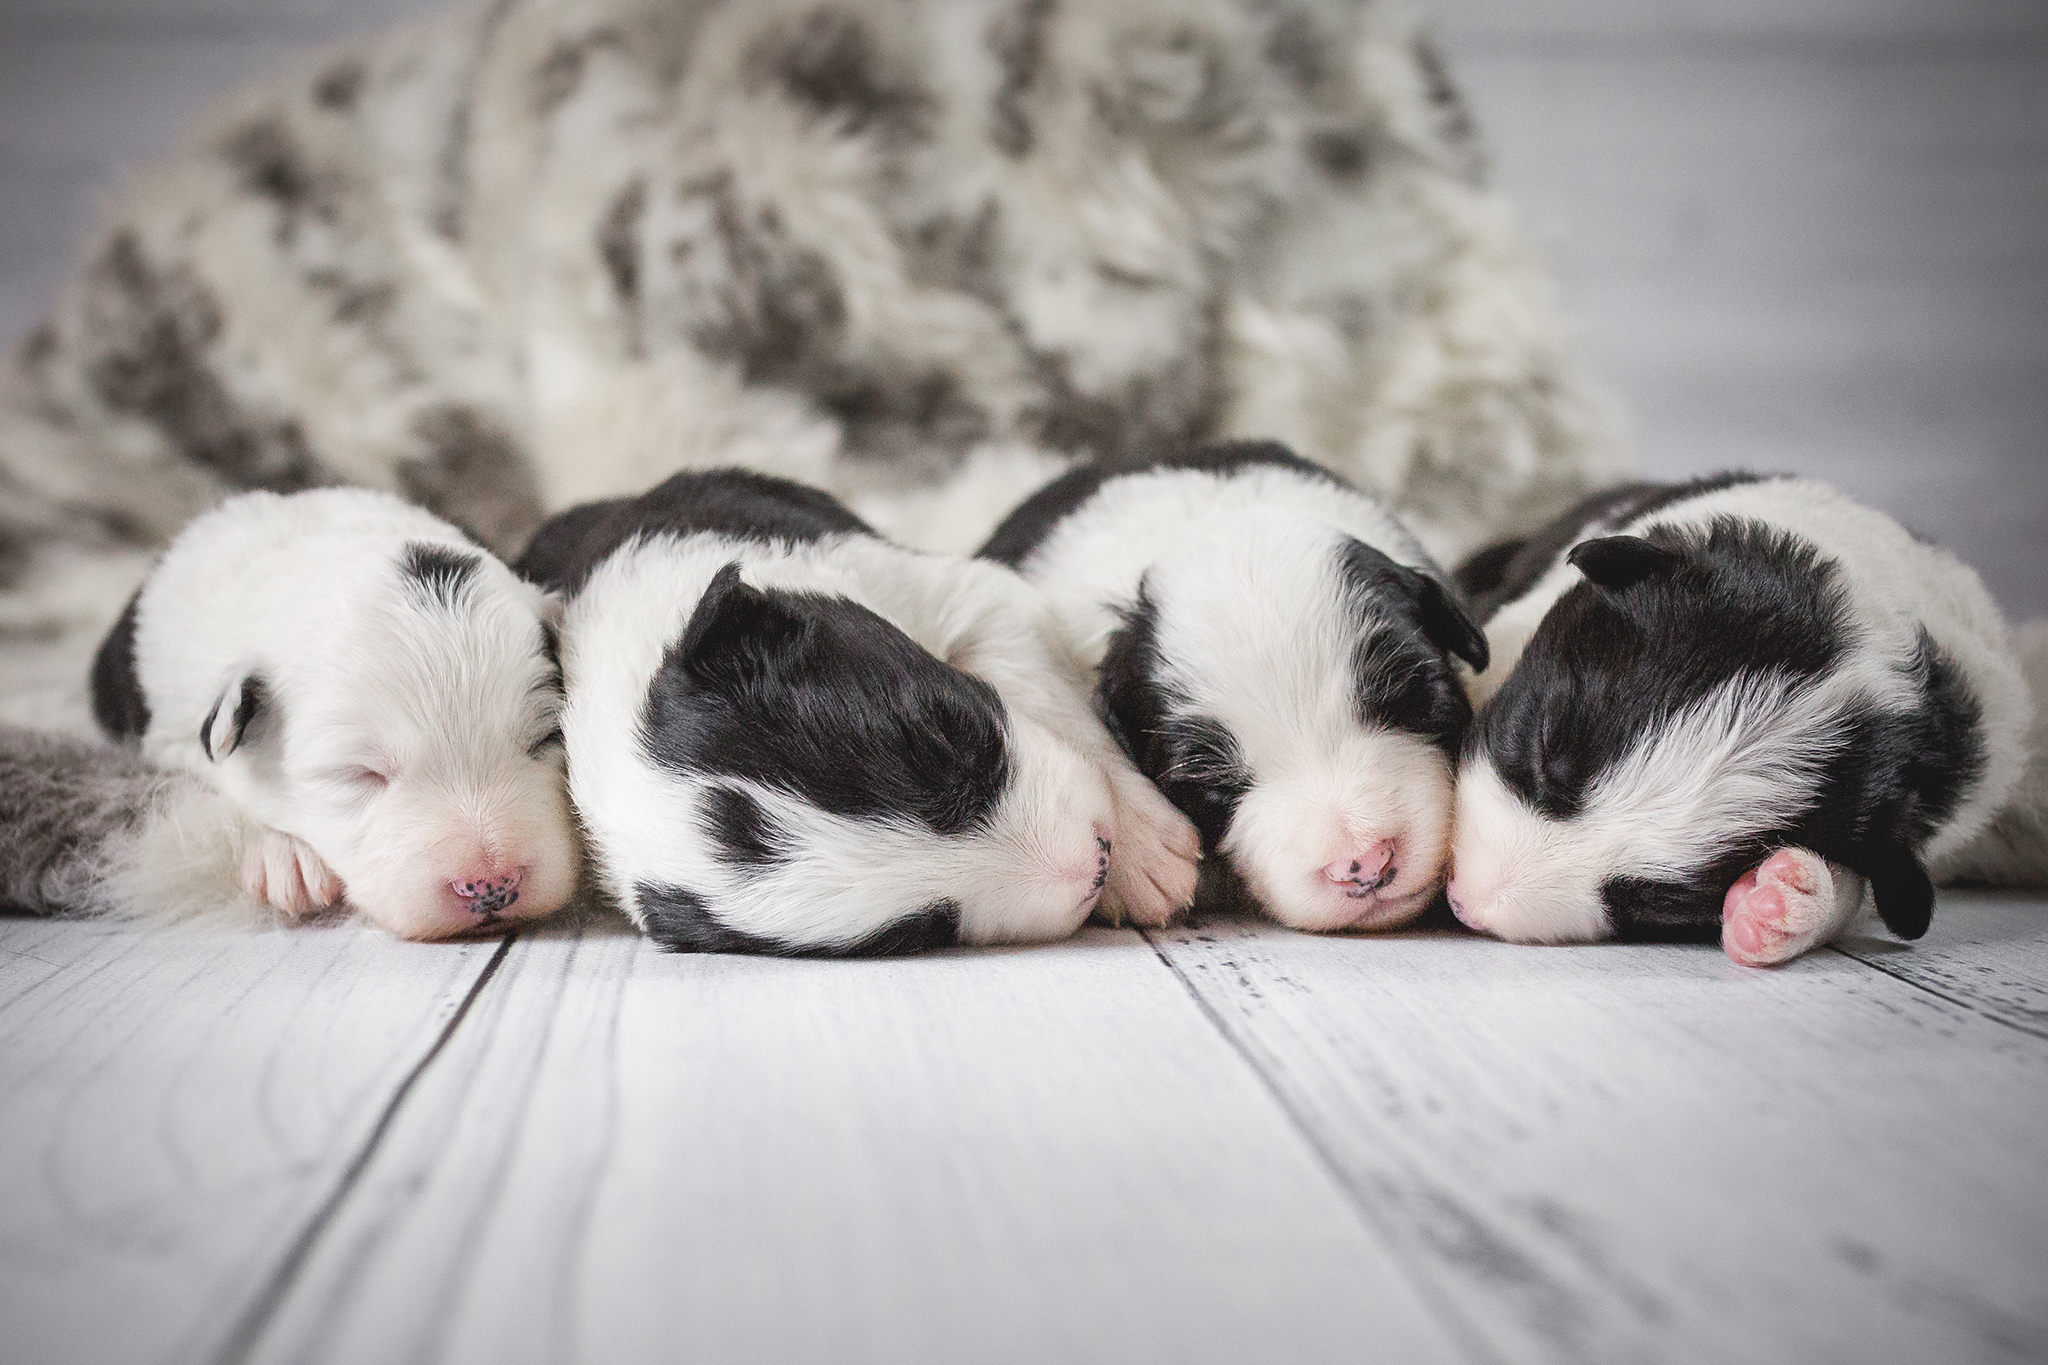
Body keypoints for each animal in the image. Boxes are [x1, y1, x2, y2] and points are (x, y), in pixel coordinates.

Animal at [512, 464, 1204, 957]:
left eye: (947, 732)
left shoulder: (953, 590)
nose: (1097, 861)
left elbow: (1042, 686)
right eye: (925, 930)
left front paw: (1143, 853)